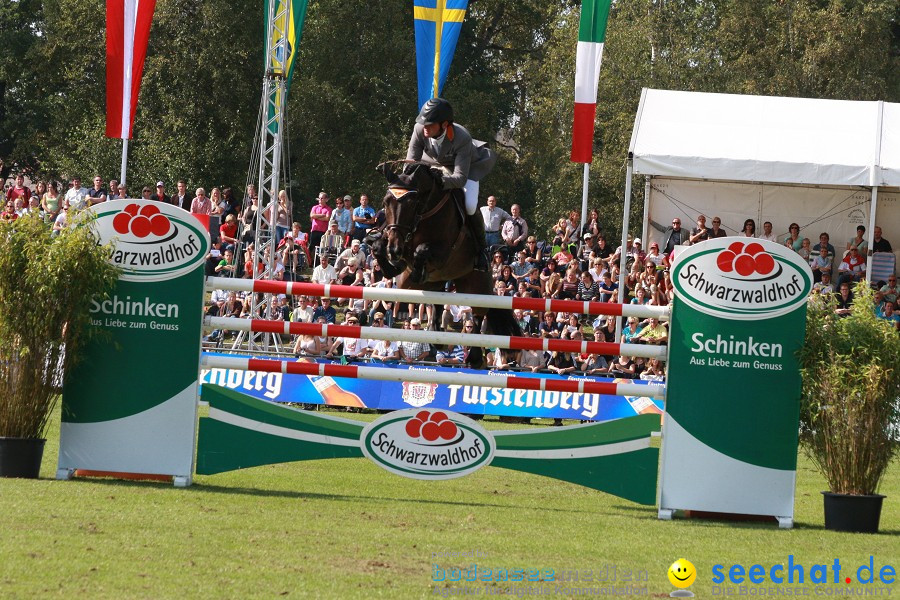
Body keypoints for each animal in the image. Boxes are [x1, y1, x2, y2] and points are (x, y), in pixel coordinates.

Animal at [368, 162, 520, 342]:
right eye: (386, 202)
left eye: (412, 203)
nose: (394, 250)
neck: (426, 213)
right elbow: (378, 247)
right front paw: (393, 264)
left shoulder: (443, 253)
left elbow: (421, 250)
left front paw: (418, 272)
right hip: (430, 287)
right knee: (437, 311)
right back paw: (437, 341)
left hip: (477, 289)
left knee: (478, 317)